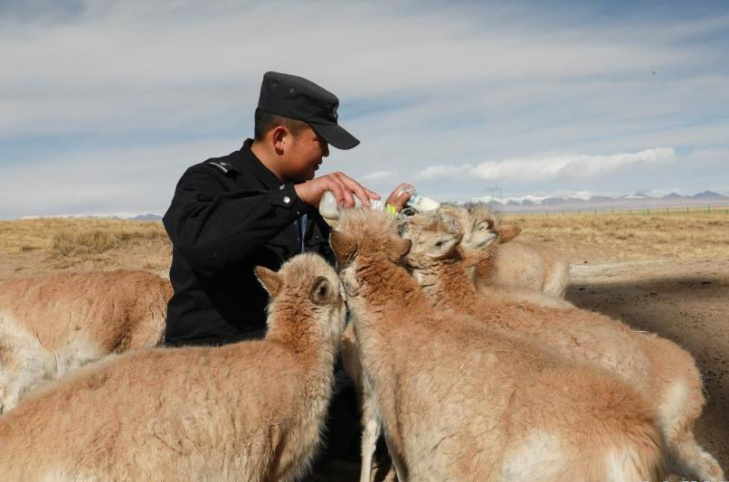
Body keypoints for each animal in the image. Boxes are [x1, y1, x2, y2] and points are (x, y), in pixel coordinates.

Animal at [400, 211, 724, 482]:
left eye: (451, 223)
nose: (405, 215)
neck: (471, 304)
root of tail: (689, 374)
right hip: (674, 441)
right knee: (709, 467)